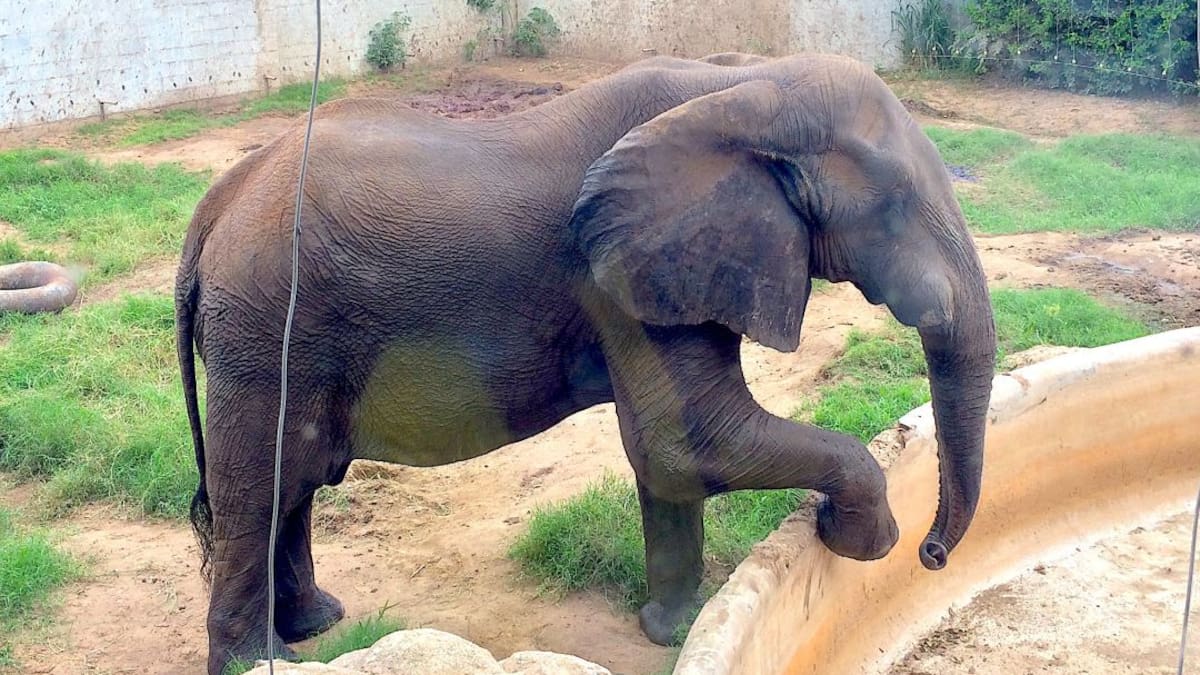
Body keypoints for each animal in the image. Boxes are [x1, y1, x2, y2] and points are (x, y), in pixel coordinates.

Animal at [175, 52, 996, 674]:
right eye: (896, 204)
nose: (930, 554)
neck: (747, 86)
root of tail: (214, 207)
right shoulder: (617, 276)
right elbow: (685, 443)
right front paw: (861, 539)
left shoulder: (662, 265)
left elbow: (676, 456)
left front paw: (674, 627)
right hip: (265, 328)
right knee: (258, 491)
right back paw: (257, 661)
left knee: (292, 485)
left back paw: (315, 627)